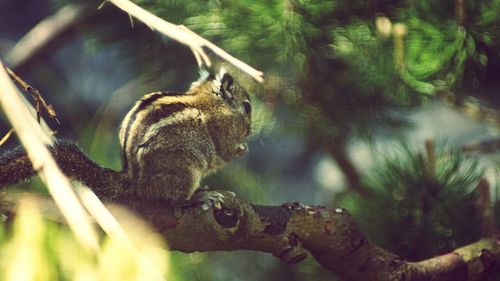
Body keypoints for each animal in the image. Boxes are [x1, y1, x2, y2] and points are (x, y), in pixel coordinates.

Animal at [0, 68, 252, 207]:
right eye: (248, 106)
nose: (250, 131)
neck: (209, 101)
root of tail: (134, 179)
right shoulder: (222, 132)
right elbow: (225, 152)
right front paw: (242, 148)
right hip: (184, 170)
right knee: (175, 199)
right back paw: (199, 197)